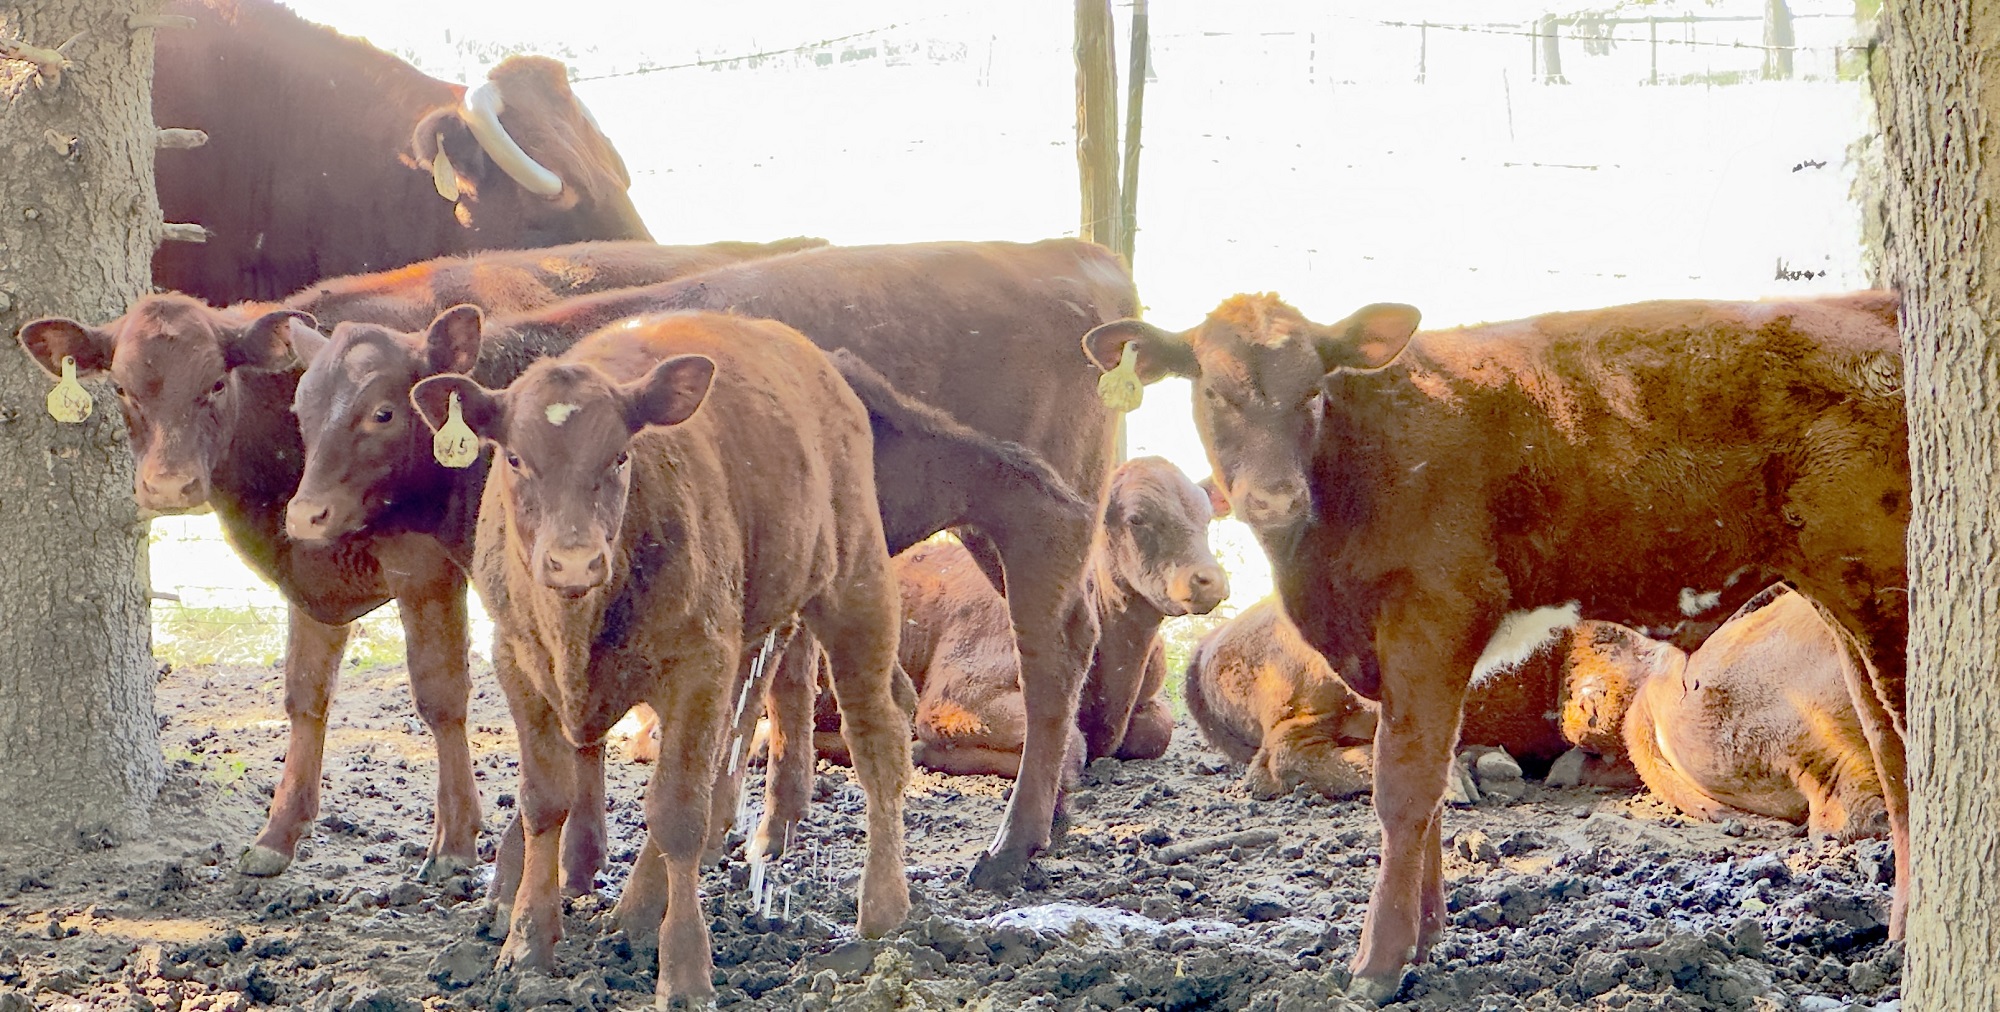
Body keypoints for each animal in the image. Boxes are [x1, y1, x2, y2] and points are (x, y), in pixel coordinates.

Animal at [13, 240, 806, 882]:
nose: (167, 486)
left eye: (213, 383)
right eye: (122, 388)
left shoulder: (426, 568)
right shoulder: (311, 570)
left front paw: (454, 843)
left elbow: (440, 694)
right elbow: (304, 696)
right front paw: (278, 834)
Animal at [300, 239, 1133, 889]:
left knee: (1052, 657)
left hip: (1036, 519)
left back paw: (1014, 842)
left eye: (381, 411)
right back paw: (1049, 820)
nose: (305, 514)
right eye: (303, 409)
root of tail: (1075, 256)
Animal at [408, 311, 911, 1001]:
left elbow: (677, 815)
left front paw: (685, 971)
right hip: (744, 635)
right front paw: (527, 943)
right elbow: (545, 801)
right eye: (514, 458)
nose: (573, 562)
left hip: (854, 585)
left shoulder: (697, 663)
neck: (576, 628)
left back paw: (883, 908)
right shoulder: (516, 660)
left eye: (620, 455)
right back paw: (635, 913)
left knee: (876, 737)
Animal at [891, 456, 1227, 779]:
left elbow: (1158, 729)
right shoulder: (957, 696)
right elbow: (1071, 748)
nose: (1210, 580)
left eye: (1207, 519)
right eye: (1137, 519)